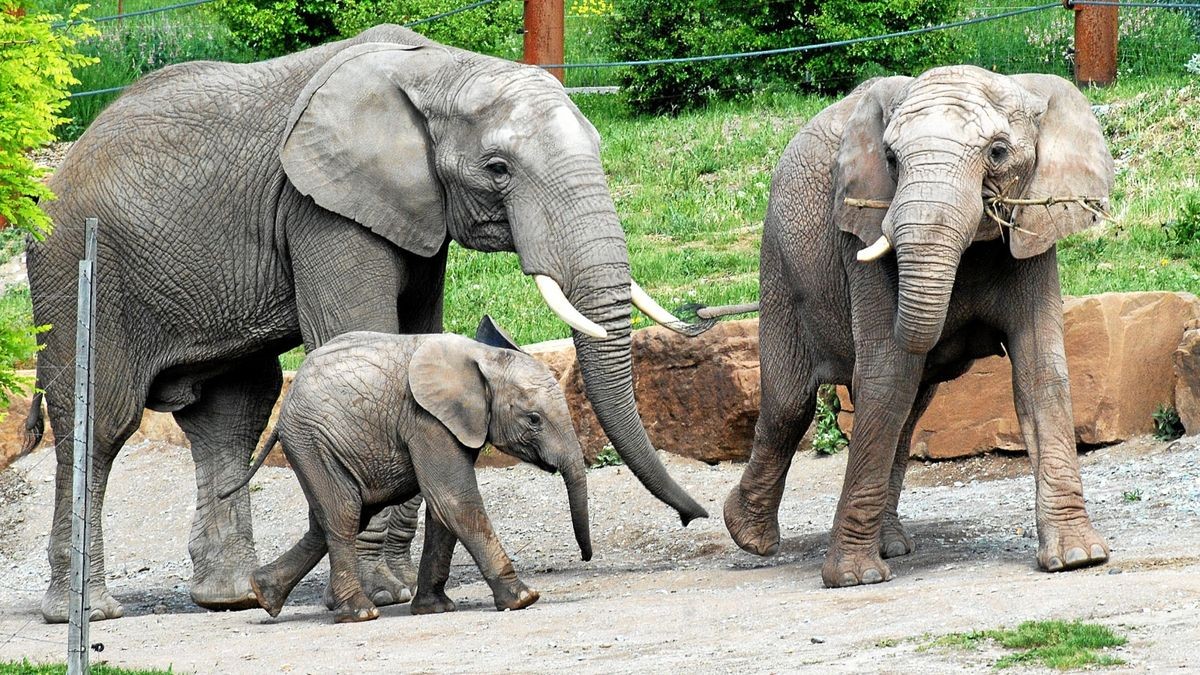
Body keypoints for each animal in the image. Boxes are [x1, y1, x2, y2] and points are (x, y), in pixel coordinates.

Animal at [222, 319, 595, 619]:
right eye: (533, 420)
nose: (585, 558)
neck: (483, 357)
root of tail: (284, 409)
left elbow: (443, 510)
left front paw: (434, 609)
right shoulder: (426, 420)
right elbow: (453, 499)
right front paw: (524, 598)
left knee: (337, 518)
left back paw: (264, 594)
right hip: (312, 441)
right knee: (343, 515)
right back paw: (359, 613)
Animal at [715, 65, 1108, 586]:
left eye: (998, 152)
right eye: (890, 158)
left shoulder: (1035, 228)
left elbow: (1041, 374)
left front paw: (1079, 558)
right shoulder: (860, 231)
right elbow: (887, 374)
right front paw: (854, 579)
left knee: (907, 411)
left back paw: (891, 545)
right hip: (778, 261)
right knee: (791, 405)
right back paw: (748, 535)